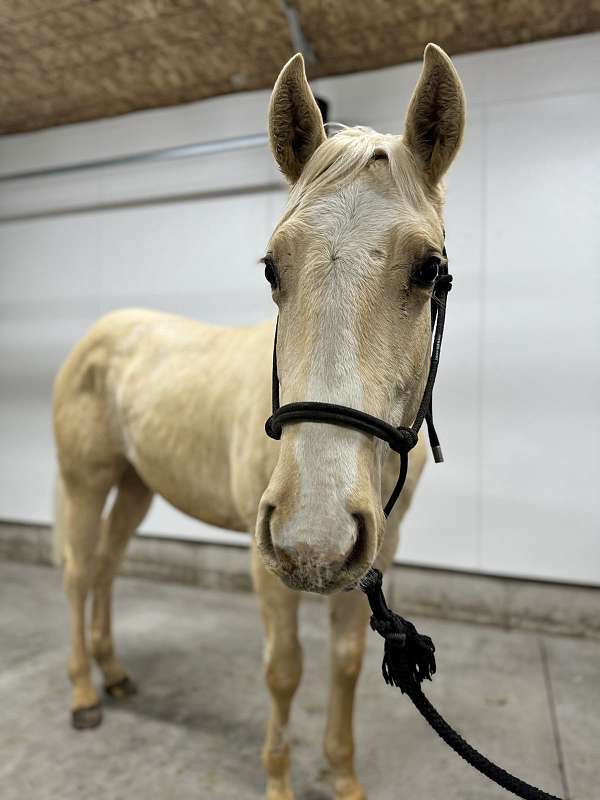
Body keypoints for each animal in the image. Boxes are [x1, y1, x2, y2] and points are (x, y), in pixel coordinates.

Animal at [52, 43, 464, 800]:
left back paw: (115, 674)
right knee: (78, 572)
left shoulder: (374, 556)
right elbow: (285, 669)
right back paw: (85, 696)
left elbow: (346, 662)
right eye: (273, 267)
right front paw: (279, 779)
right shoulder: (264, 555)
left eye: (429, 269)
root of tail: (101, 332)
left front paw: (343, 776)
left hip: (136, 485)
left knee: (107, 567)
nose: (314, 536)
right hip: (86, 482)